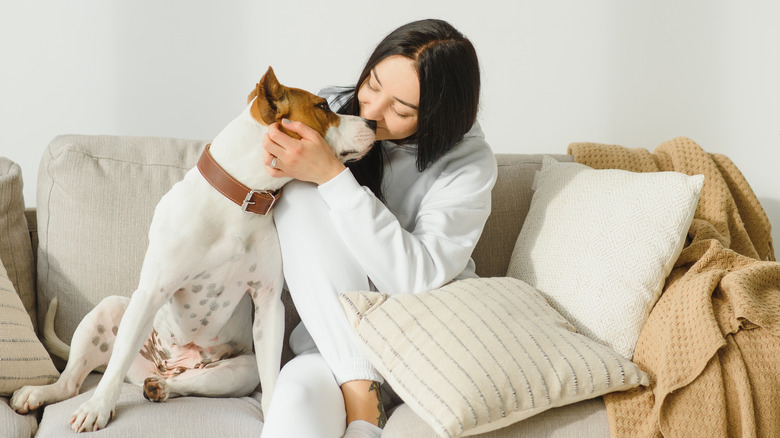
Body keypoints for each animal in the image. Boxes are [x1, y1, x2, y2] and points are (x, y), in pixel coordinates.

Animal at [9, 66, 374, 432]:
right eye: (323, 106)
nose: (371, 122)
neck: (239, 200)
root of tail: (168, 367)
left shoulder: (268, 304)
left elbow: (272, 376)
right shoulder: (152, 291)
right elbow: (113, 368)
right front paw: (98, 408)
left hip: (240, 370)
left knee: (187, 384)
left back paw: (161, 387)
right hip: (112, 312)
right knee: (76, 379)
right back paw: (41, 393)